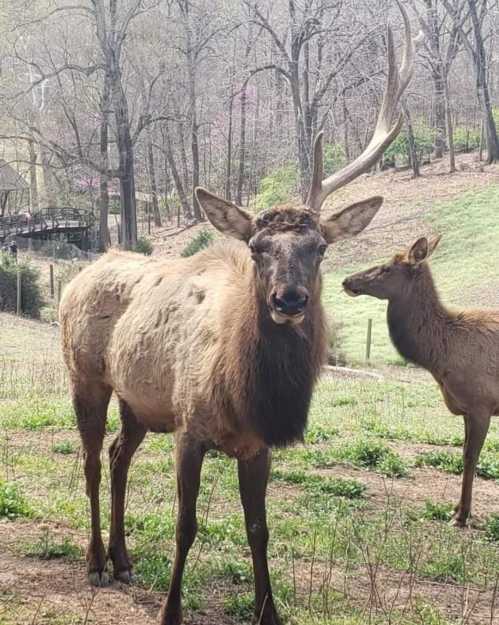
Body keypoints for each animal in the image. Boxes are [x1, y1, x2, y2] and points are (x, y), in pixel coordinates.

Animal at [59, 6, 418, 624]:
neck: (244, 392)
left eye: (320, 247)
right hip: (85, 375)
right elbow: (185, 525)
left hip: (138, 399)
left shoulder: (258, 446)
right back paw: (96, 561)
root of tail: (81, 272)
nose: (289, 300)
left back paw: (125, 560)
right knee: (89, 459)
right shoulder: (189, 426)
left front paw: (268, 611)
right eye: (256, 247)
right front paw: (171, 610)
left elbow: (259, 530)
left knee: (117, 455)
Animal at [344, 235, 499, 528]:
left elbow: (470, 457)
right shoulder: (466, 408)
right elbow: (464, 452)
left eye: (387, 268)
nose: (347, 280)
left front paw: (461, 516)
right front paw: (455, 509)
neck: (441, 357)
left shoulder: (481, 404)